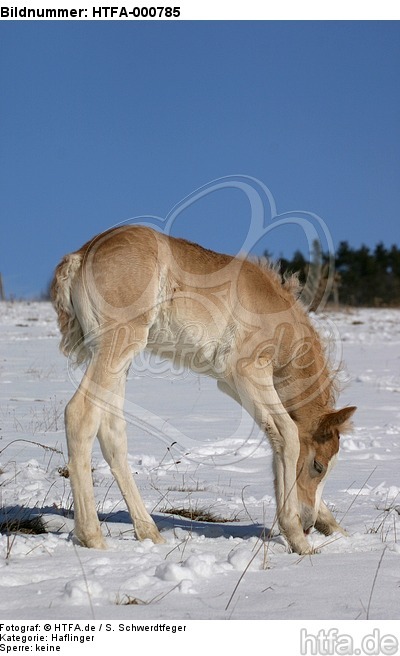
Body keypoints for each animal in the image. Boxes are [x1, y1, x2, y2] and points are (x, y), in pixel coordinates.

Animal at [51, 225, 356, 555]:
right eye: (318, 466)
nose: (309, 523)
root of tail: (80, 256)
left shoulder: (231, 383)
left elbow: (277, 439)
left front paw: (332, 526)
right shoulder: (249, 372)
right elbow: (287, 433)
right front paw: (298, 538)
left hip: (118, 358)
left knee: (111, 431)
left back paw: (149, 532)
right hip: (118, 344)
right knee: (80, 414)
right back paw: (92, 536)